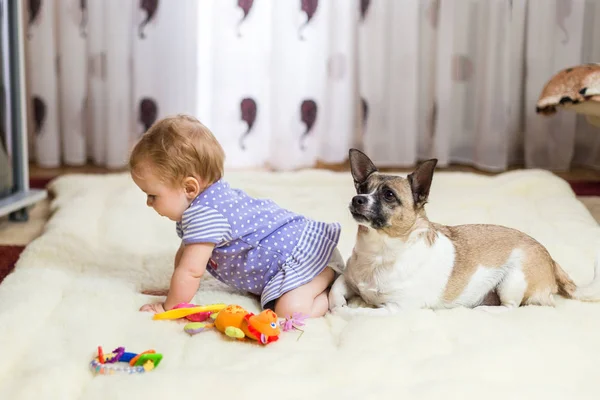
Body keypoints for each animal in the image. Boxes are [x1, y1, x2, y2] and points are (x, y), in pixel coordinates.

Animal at [328, 148, 600, 316]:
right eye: (362, 188)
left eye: (388, 195)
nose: (357, 199)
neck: (379, 251)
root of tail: (551, 259)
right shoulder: (347, 280)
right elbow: (334, 292)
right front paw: (338, 302)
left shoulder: (395, 309)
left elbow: (355, 313)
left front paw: (347, 310)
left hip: (513, 279)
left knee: (512, 306)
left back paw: (485, 309)